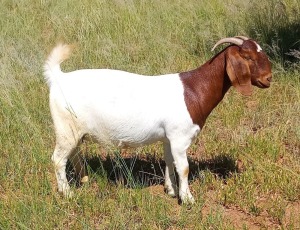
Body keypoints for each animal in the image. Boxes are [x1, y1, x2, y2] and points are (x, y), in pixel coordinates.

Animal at [44, 36, 272, 204]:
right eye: (248, 57)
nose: (269, 78)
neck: (193, 90)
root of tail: (59, 78)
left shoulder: (169, 138)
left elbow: (169, 162)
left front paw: (171, 190)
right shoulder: (180, 138)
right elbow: (184, 168)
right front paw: (188, 199)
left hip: (74, 131)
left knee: (74, 154)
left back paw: (83, 180)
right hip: (65, 129)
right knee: (58, 159)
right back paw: (67, 193)